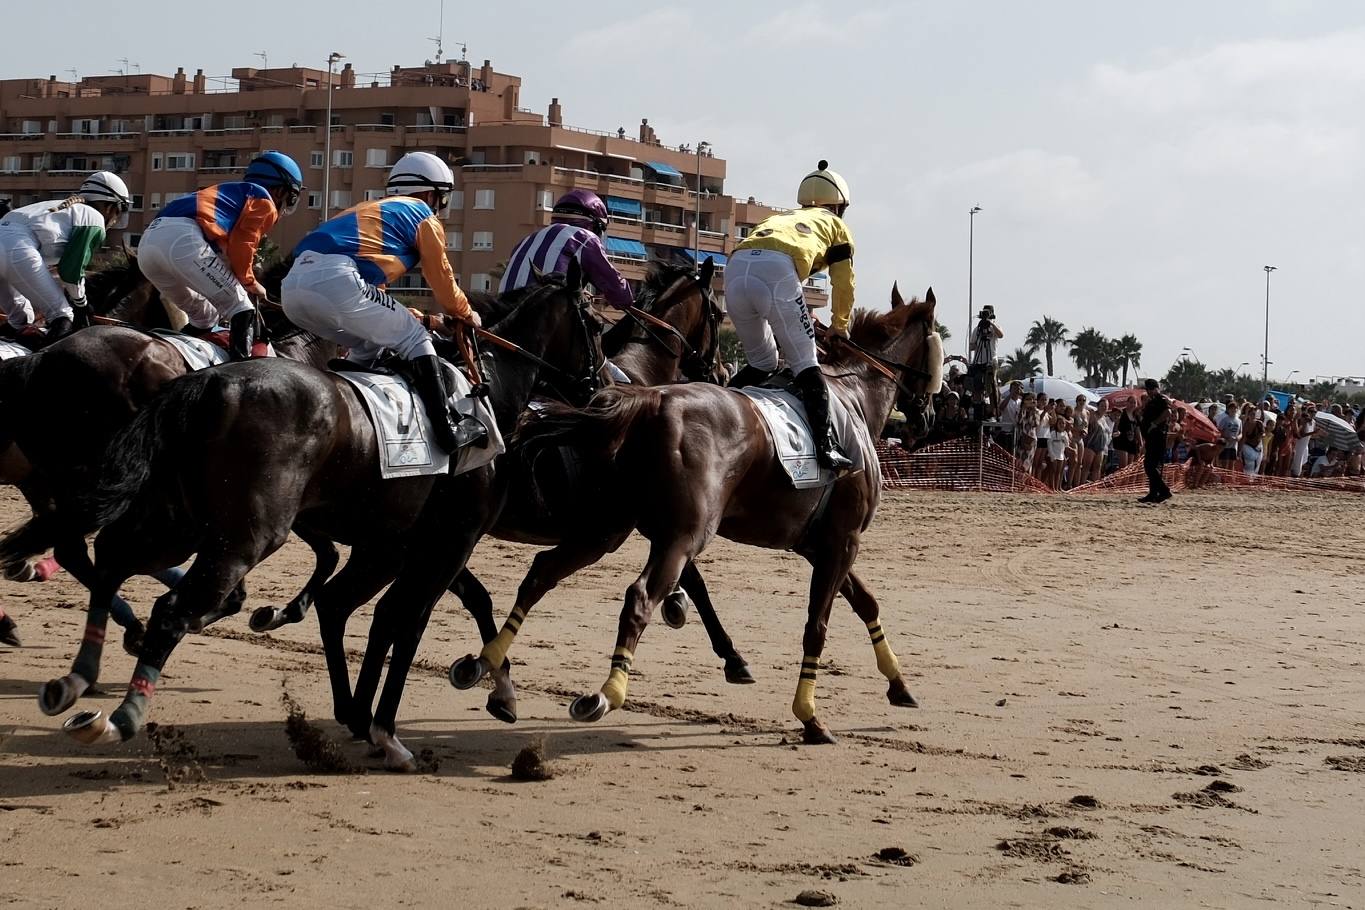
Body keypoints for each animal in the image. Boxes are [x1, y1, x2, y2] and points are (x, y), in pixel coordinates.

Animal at [55, 265, 606, 770]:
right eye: (597, 326)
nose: (599, 385)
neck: (482, 392)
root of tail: (201, 384)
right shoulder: (449, 541)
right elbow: (407, 620)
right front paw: (387, 729)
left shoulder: (392, 544)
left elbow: (360, 609)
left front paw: (362, 714)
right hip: (246, 534)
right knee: (168, 606)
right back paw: (123, 713)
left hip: (179, 521)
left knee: (110, 556)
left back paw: (78, 678)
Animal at [500, 286, 942, 744]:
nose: (927, 418)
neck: (853, 397)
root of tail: (648, 400)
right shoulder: (843, 540)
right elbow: (817, 625)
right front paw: (809, 715)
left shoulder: (820, 543)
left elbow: (867, 603)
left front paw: (899, 684)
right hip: (684, 533)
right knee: (638, 596)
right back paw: (605, 693)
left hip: (607, 526)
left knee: (542, 571)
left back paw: (488, 666)